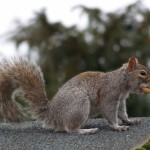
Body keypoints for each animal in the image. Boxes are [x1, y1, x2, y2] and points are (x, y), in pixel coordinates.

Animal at [0, 56, 150, 134]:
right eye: (142, 73)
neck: (121, 80)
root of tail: (52, 115)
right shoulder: (109, 95)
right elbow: (110, 113)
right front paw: (117, 126)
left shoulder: (120, 100)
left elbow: (122, 113)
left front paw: (129, 121)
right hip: (79, 103)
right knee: (71, 129)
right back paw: (86, 131)